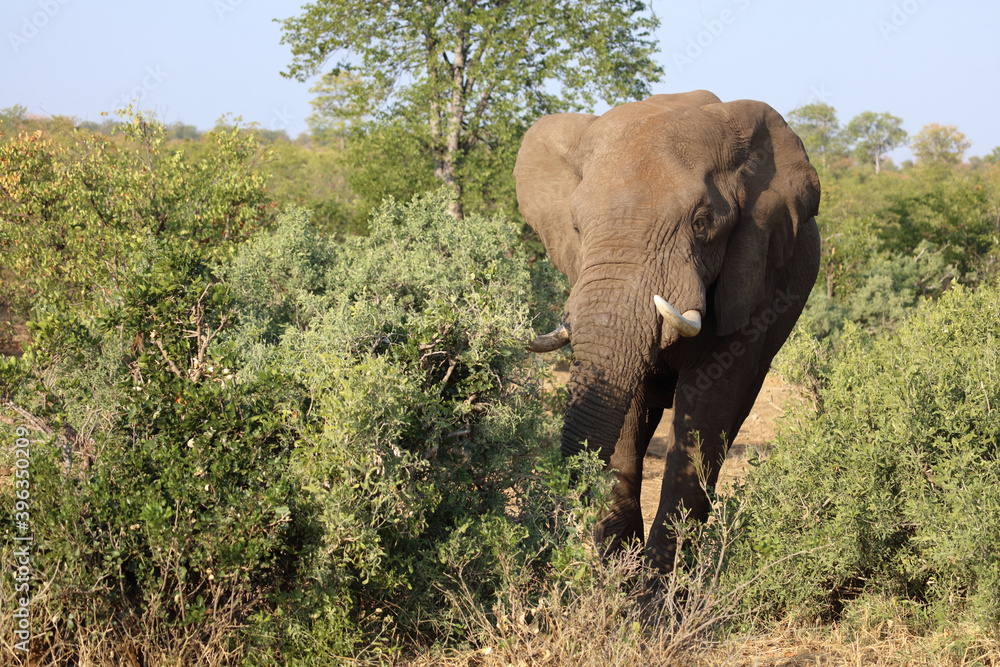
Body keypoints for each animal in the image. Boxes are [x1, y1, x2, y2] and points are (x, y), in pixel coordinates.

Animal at [513, 90, 820, 571]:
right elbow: (624, 417)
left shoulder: (752, 275)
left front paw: (658, 589)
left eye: (702, 222)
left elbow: (708, 411)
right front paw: (618, 579)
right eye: (576, 227)